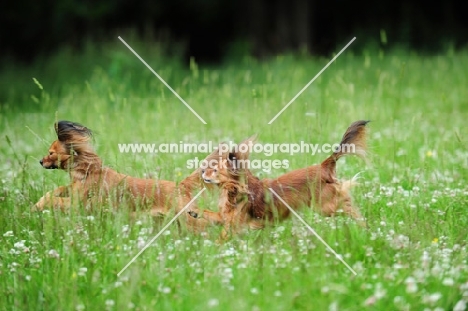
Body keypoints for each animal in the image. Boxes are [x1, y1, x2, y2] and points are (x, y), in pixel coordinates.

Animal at [33, 121, 176, 214]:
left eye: (51, 153)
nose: (40, 161)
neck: (88, 171)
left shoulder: (76, 203)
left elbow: (54, 200)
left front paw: (38, 205)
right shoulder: (74, 188)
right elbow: (57, 191)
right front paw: (40, 202)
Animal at [189, 120, 370, 240]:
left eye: (214, 170)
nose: (202, 170)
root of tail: (323, 166)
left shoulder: (235, 225)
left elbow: (222, 236)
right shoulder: (225, 218)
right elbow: (210, 214)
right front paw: (194, 211)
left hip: (326, 207)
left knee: (347, 201)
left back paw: (364, 226)